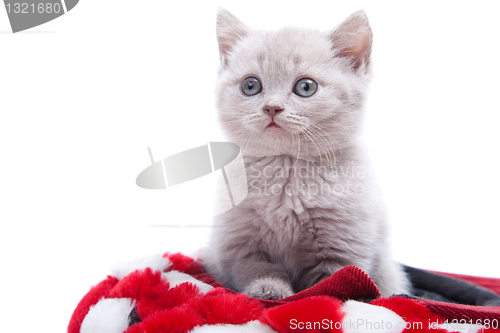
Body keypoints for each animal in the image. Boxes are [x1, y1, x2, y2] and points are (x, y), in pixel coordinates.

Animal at [201, 8, 412, 298]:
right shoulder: (239, 246)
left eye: (306, 87)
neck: (286, 170)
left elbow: (327, 285)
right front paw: (269, 290)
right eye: (251, 85)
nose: (272, 108)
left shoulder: (342, 251)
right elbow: (258, 269)